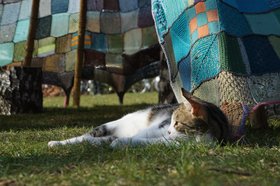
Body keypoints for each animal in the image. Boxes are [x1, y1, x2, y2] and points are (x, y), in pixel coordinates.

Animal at [48, 88, 230, 148]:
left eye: (177, 123)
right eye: (171, 121)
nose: (169, 131)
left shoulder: (168, 143)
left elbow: (139, 140)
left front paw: (120, 143)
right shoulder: (156, 128)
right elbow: (140, 135)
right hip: (112, 125)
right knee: (85, 136)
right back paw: (56, 143)